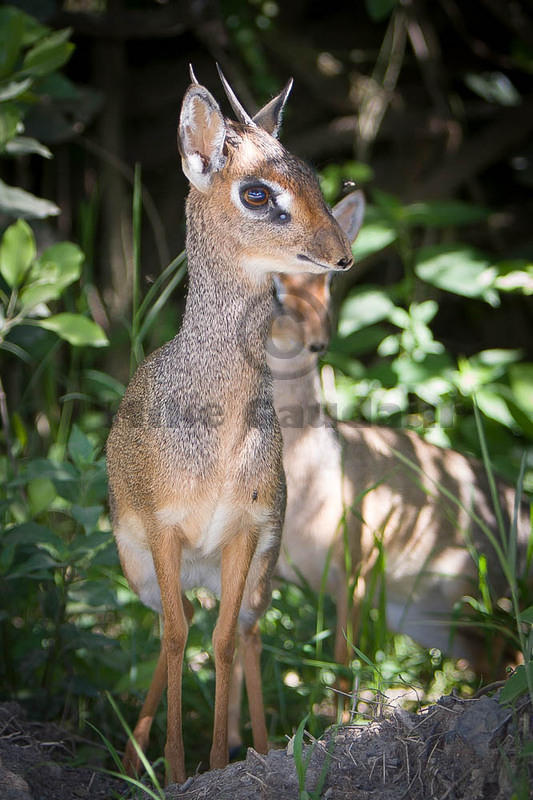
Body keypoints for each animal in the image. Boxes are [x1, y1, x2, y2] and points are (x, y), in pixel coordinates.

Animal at [105, 67, 354, 780]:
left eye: (313, 176)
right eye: (257, 192)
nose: (340, 254)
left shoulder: (245, 530)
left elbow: (217, 642)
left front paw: (217, 762)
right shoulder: (163, 531)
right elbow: (174, 637)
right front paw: (176, 770)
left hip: (258, 571)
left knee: (240, 628)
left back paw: (263, 749)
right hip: (145, 569)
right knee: (177, 621)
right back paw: (134, 757)